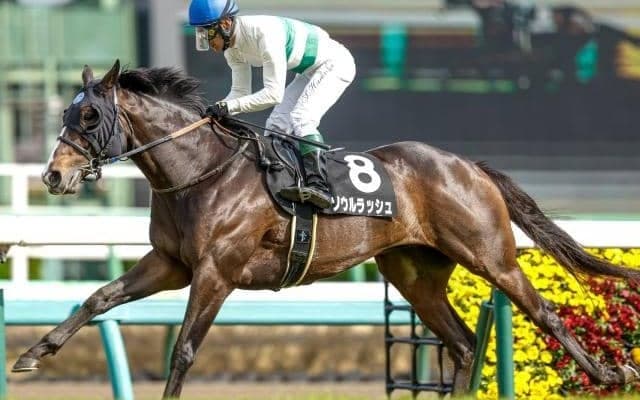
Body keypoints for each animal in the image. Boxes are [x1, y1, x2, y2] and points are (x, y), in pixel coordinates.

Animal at [14, 59, 640, 398]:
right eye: (67, 113)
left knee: (545, 315)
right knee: (462, 343)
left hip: (491, 255)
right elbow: (98, 297)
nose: (53, 175)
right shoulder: (170, 264)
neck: (198, 170)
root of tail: (468, 165)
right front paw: (33, 353)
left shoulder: (216, 271)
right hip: (414, 273)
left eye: (90, 115)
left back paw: (611, 371)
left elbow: (185, 349)